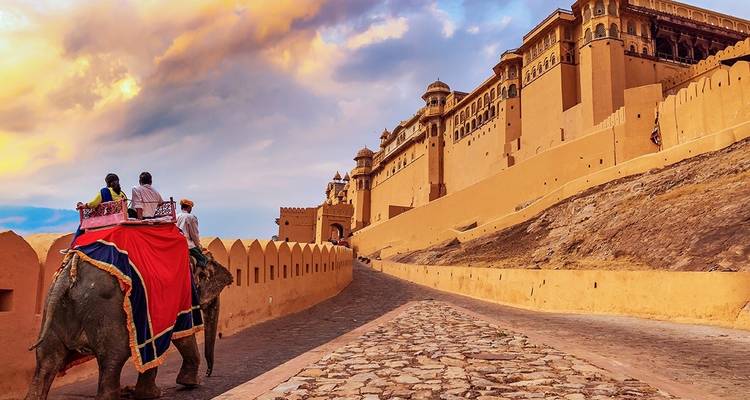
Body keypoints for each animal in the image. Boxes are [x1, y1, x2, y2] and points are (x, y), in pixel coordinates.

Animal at [25, 250, 233, 400]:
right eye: (208, 276)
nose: (208, 373)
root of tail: (69, 272)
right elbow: (182, 335)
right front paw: (188, 384)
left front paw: (147, 393)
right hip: (107, 312)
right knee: (112, 360)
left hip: (53, 313)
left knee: (46, 363)